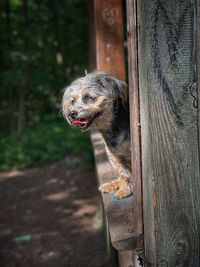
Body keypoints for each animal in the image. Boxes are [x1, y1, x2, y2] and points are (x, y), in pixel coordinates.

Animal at [61, 71, 132, 199]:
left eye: (89, 98)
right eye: (73, 101)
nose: (72, 113)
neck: (112, 128)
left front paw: (125, 190)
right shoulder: (114, 156)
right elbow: (123, 173)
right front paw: (124, 189)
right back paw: (113, 184)